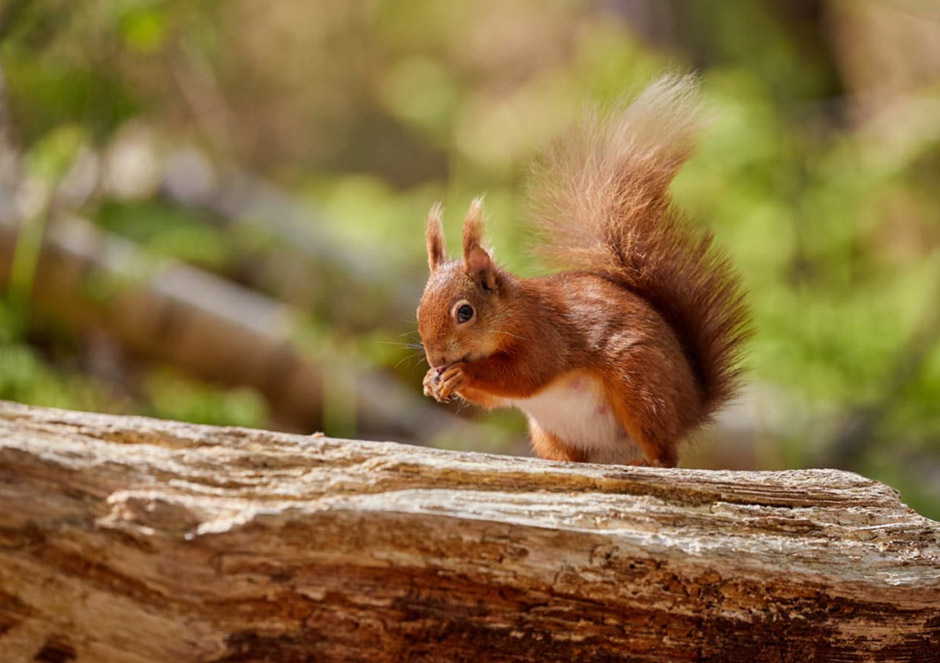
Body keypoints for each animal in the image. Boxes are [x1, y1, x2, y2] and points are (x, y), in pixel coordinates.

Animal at [416, 75, 748, 466]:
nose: (437, 358)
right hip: (552, 434)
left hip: (641, 388)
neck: (509, 313)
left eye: (465, 312)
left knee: (666, 456)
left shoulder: (542, 334)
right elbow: (495, 398)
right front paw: (431, 379)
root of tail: (691, 407)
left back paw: (645, 462)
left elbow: (525, 375)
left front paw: (462, 373)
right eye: (419, 309)